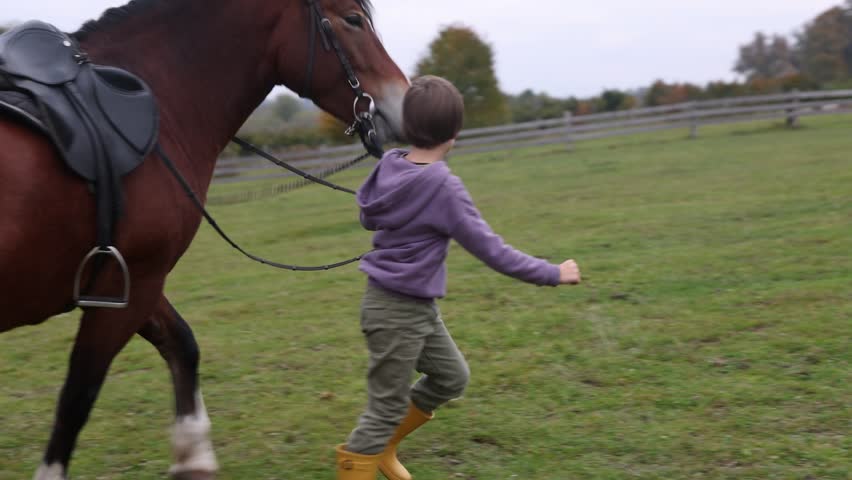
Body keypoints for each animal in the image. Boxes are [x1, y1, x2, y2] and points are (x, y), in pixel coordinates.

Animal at [0, 0, 408, 478]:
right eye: (352, 20)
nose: (405, 101)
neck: (159, 105)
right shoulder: (132, 281)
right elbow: (77, 396)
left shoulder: (130, 282)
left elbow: (183, 345)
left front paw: (193, 457)